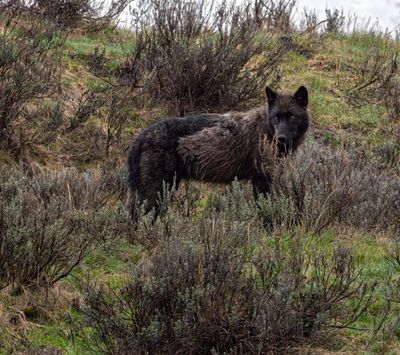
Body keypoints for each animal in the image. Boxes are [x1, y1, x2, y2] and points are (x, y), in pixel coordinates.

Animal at [127, 85, 310, 220]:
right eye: (276, 118)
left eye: (292, 117)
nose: (281, 138)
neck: (265, 129)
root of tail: (139, 138)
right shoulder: (260, 180)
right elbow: (265, 209)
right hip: (155, 195)